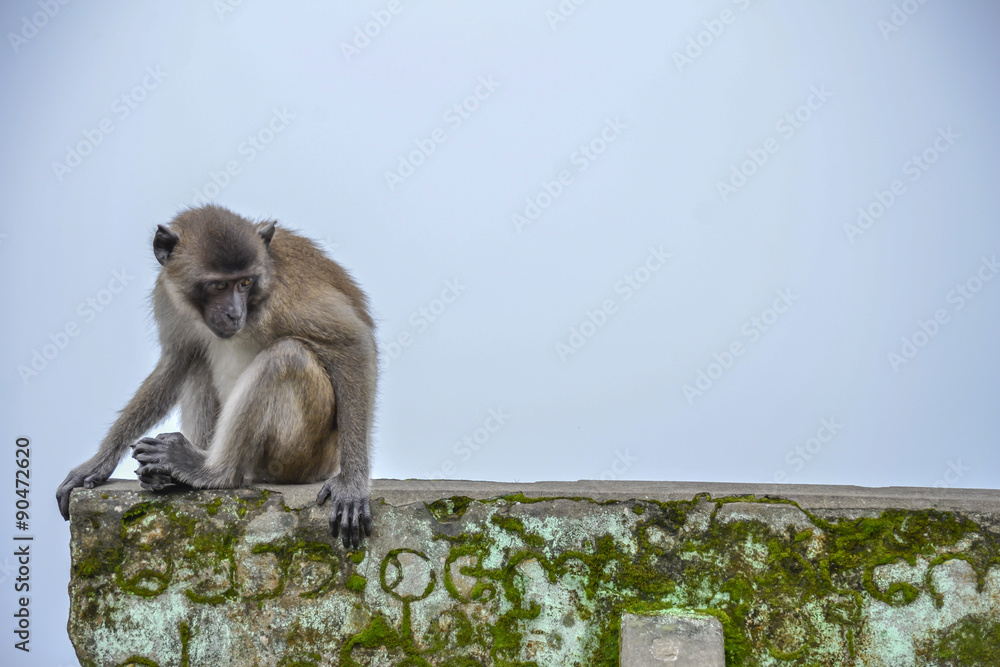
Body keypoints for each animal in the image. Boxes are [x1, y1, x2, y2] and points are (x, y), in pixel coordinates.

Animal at [55, 205, 377, 548]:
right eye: (220, 286)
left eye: (245, 283)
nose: (235, 313)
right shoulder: (168, 295)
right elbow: (176, 362)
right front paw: (98, 462)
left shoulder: (284, 298)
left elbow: (353, 343)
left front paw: (352, 486)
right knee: (199, 363)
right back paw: (170, 472)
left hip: (300, 456)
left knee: (285, 356)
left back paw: (213, 471)